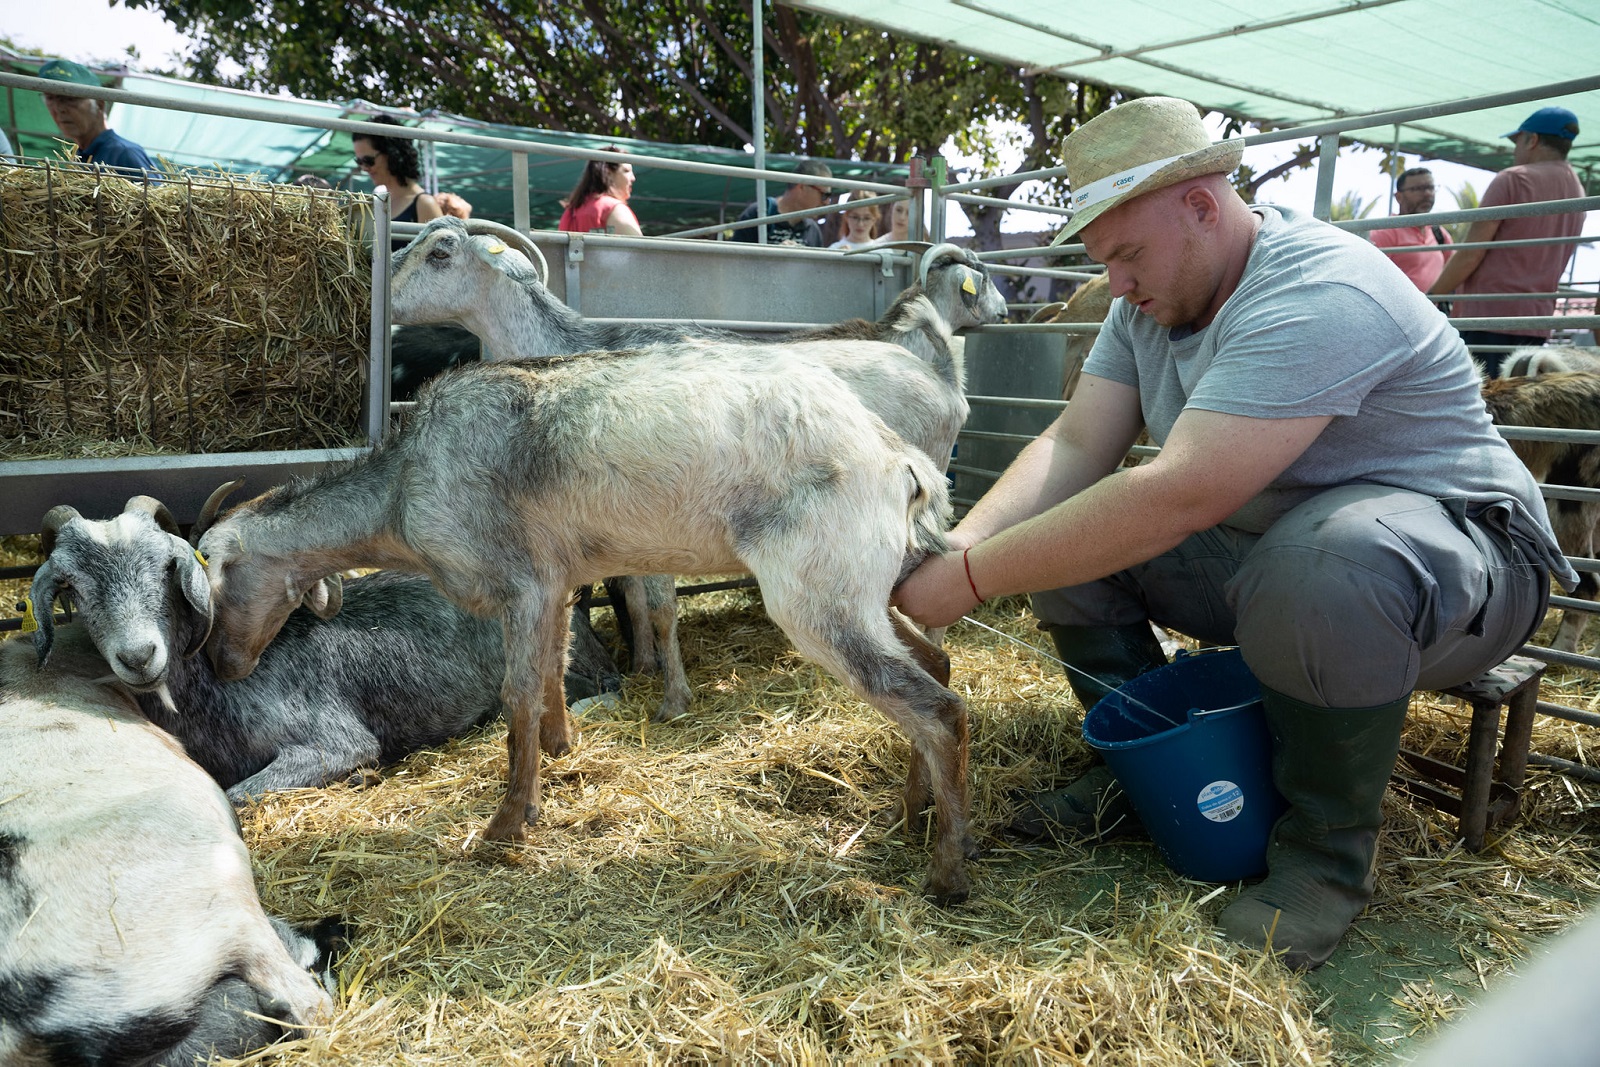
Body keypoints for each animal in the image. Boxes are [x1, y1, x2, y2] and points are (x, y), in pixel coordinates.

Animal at [200, 347, 972, 908]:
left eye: (215, 568)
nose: (218, 665)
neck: (400, 497)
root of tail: (901, 460)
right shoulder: (559, 580)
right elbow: (552, 668)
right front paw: (561, 749)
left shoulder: (522, 581)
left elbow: (516, 693)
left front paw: (507, 824)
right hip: (868, 585)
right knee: (935, 666)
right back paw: (914, 810)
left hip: (817, 590)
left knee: (937, 705)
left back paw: (947, 871)